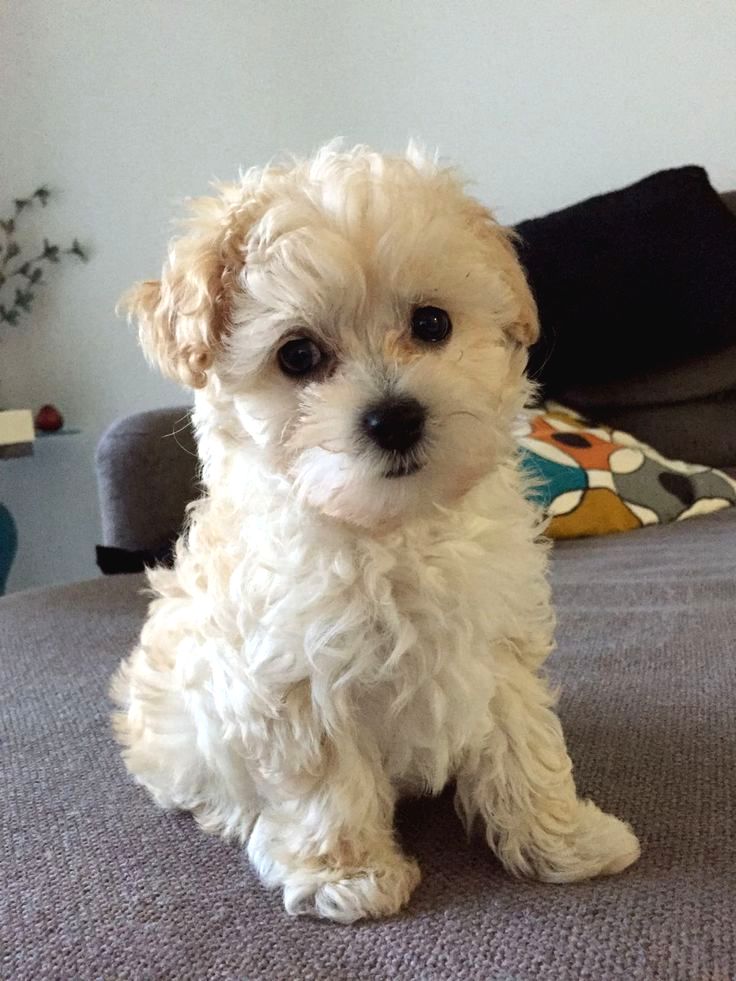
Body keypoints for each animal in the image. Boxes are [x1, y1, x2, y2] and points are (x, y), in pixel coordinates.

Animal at [112, 143, 640, 923]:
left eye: (432, 323)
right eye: (298, 355)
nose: (395, 418)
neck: (392, 530)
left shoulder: (496, 642)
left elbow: (524, 743)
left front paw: (566, 840)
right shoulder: (291, 676)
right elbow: (327, 782)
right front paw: (349, 875)